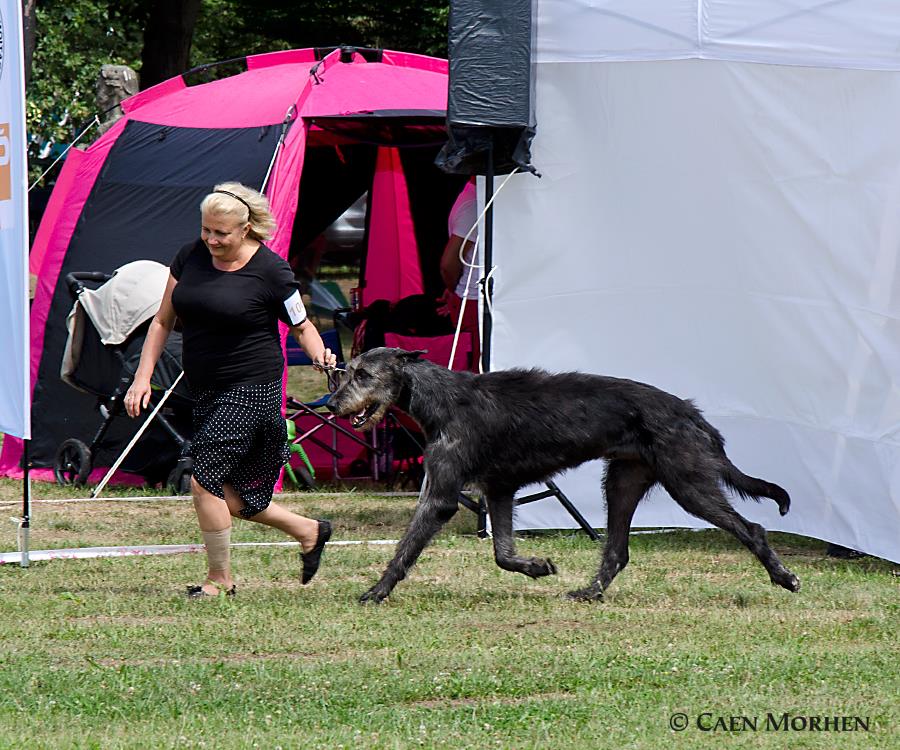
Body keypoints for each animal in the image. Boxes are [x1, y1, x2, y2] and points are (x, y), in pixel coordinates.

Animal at [326, 348, 800, 604]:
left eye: (365, 374)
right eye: (346, 371)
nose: (331, 404)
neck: (440, 398)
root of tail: (691, 412)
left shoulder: (442, 493)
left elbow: (405, 549)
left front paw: (376, 592)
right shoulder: (499, 489)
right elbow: (502, 553)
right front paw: (538, 566)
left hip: (687, 482)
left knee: (751, 528)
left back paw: (784, 577)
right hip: (623, 481)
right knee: (617, 551)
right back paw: (590, 593)